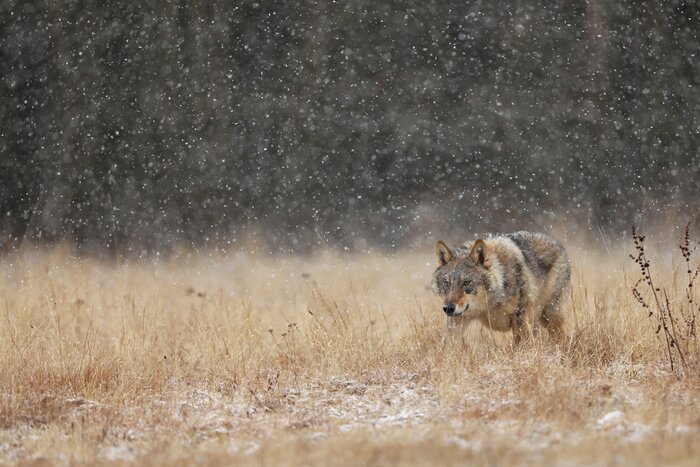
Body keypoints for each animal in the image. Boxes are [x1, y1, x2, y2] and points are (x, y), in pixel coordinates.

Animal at [432, 231, 571, 345]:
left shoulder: (519, 318)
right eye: (446, 283)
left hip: (549, 317)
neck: (490, 304)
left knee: (563, 338)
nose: (448, 308)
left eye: (466, 282)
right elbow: (447, 344)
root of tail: (558, 244)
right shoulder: (457, 320)